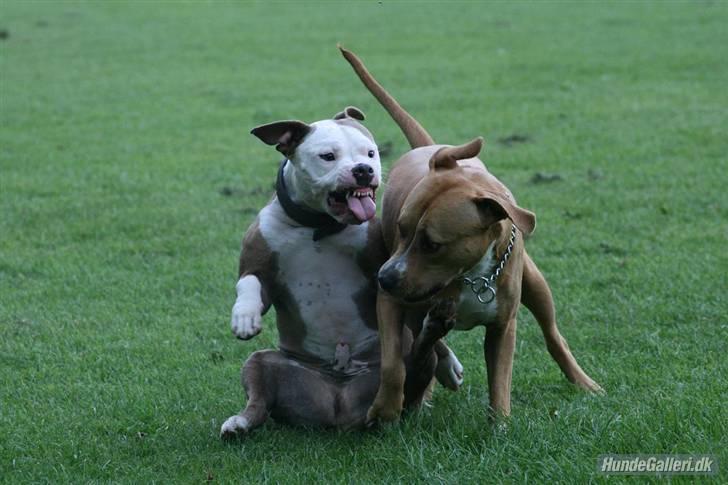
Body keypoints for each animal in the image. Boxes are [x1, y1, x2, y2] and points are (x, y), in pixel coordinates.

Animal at [220, 108, 460, 436]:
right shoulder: (259, 265)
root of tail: (340, 406)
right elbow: (250, 286)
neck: (318, 227)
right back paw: (239, 423)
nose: (363, 170)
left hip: (399, 366)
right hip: (261, 363)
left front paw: (450, 364)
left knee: (419, 364)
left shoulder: (389, 269)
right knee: (259, 400)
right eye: (328, 156)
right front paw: (245, 318)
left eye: (370, 153)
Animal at [342, 47, 604, 422]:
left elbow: (500, 381)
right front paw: (385, 408)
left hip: (534, 281)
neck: (468, 275)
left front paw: (501, 426)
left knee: (554, 334)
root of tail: (430, 148)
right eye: (401, 229)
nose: (384, 277)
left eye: (433, 244)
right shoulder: (392, 301)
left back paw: (583, 382)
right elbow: (393, 363)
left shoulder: (502, 327)